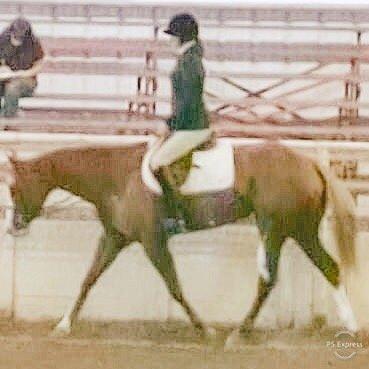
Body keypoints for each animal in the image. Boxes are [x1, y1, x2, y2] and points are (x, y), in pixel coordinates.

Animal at [0, 137, 358, 346]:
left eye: (14, 188)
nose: (13, 227)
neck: (117, 176)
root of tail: (309, 162)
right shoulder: (115, 237)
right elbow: (88, 279)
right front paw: (63, 326)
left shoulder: (152, 241)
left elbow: (174, 286)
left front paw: (205, 329)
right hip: (298, 230)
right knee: (328, 269)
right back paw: (351, 328)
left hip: (279, 229)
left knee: (272, 279)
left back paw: (238, 333)